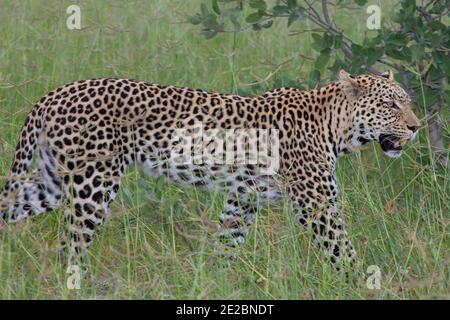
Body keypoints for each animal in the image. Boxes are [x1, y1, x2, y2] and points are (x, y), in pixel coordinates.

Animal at [0, 69, 420, 270]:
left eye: (408, 102)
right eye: (392, 105)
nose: (416, 127)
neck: (337, 129)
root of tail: (53, 94)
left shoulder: (243, 200)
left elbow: (226, 246)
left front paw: (219, 281)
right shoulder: (315, 205)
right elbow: (343, 252)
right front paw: (361, 284)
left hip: (52, 182)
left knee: (11, 208)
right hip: (93, 184)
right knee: (72, 247)